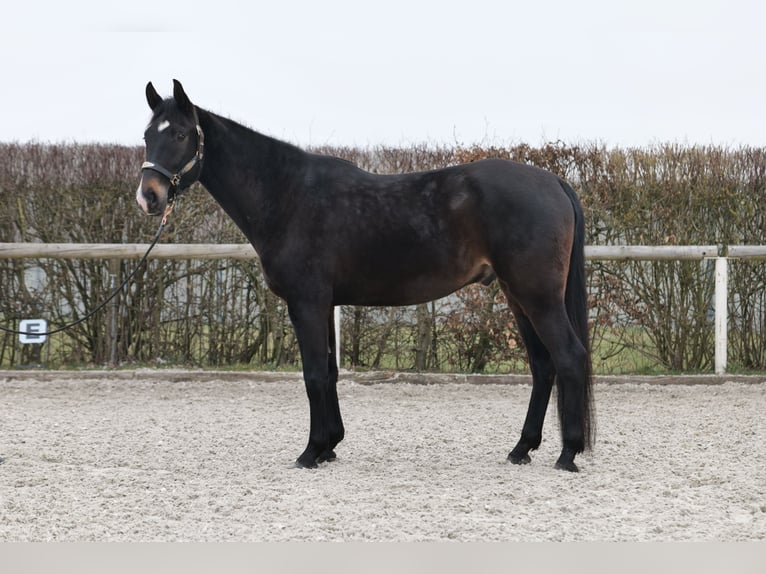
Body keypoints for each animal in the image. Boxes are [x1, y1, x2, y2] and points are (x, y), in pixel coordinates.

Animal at [136, 82, 592, 476]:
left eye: (180, 134)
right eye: (145, 135)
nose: (148, 197)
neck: (288, 195)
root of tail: (554, 181)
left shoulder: (306, 303)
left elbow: (314, 374)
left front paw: (310, 452)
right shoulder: (324, 304)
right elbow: (329, 372)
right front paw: (330, 446)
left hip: (537, 296)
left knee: (568, 356)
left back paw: (568, 453)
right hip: (517, 296)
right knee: (543, 365)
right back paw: (522, 448)